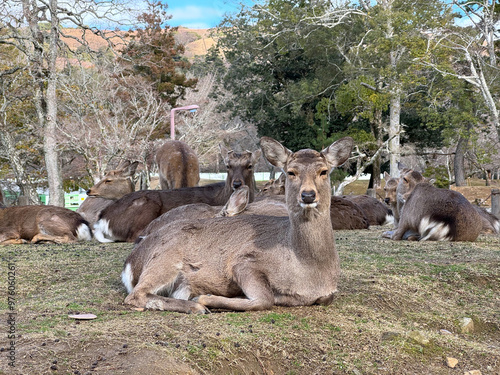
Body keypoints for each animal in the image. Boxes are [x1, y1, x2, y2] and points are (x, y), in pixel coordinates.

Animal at [93, 145, 262, 242]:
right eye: (228, 166)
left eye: (250, 165)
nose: (237, 184)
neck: (222, 195)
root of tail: (102, 219)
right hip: (147, 205)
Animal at [121, 136, 354, 314]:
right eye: (291, 172)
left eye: (324, 171)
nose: (307, 195)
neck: (310, 272)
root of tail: (130, 263)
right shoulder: (243, 261)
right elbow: (265, 299)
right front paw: (205, 298)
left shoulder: (328, 293)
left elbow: (323, 298)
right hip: (165, 258)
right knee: (136, 295)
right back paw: (196, 307)